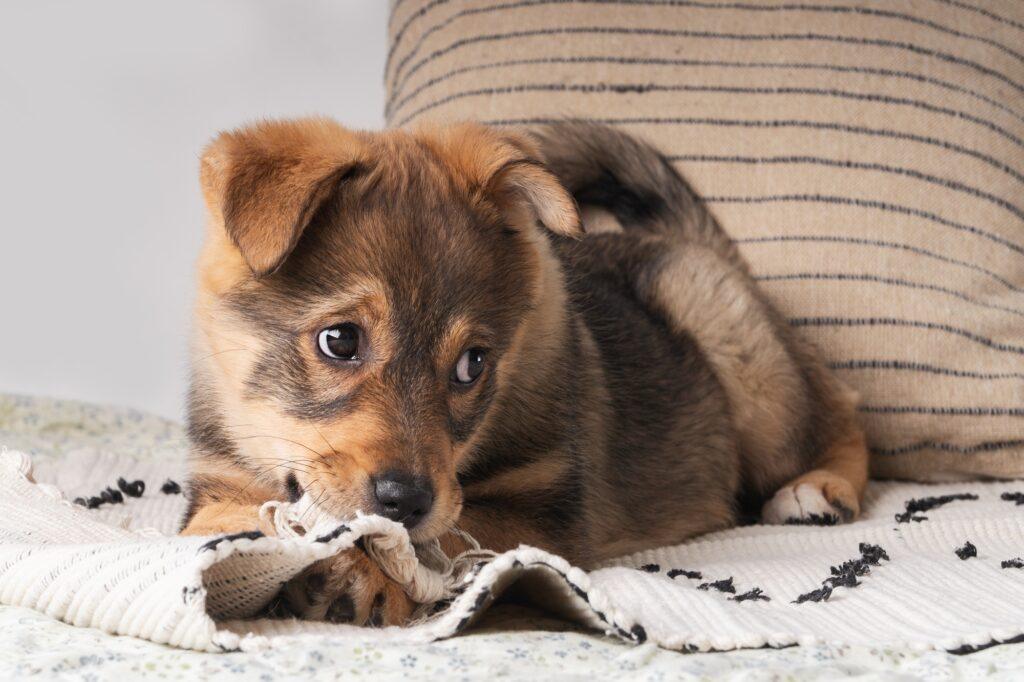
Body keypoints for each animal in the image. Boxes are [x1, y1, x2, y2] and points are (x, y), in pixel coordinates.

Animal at [180, 118, 868, 626]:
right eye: (340, 340)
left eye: (472, 364)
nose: (407, 500)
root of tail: (689, 244)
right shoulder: (219, 480)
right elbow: (219, 524)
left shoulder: (542, 513)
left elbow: (441, 539)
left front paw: (367, 569)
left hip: (747, 365)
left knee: (838, 412)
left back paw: (819, 490)